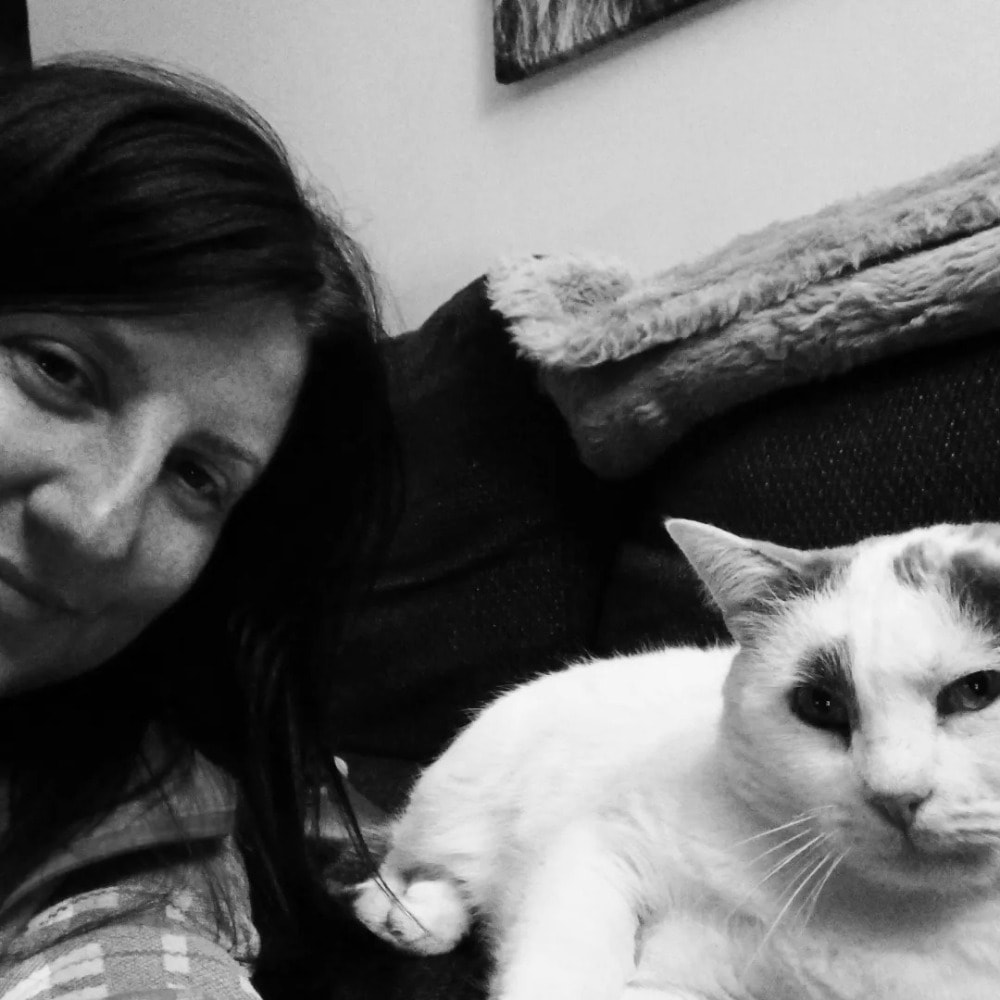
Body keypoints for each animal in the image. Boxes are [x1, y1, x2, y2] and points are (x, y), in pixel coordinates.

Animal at [352, 518, 1000, 1000]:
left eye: (977, 690)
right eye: (820, 704)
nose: (897, 796)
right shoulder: (608, 838)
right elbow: (564, 961)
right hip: (456, 799)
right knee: (404, 862)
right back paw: (407, 913)